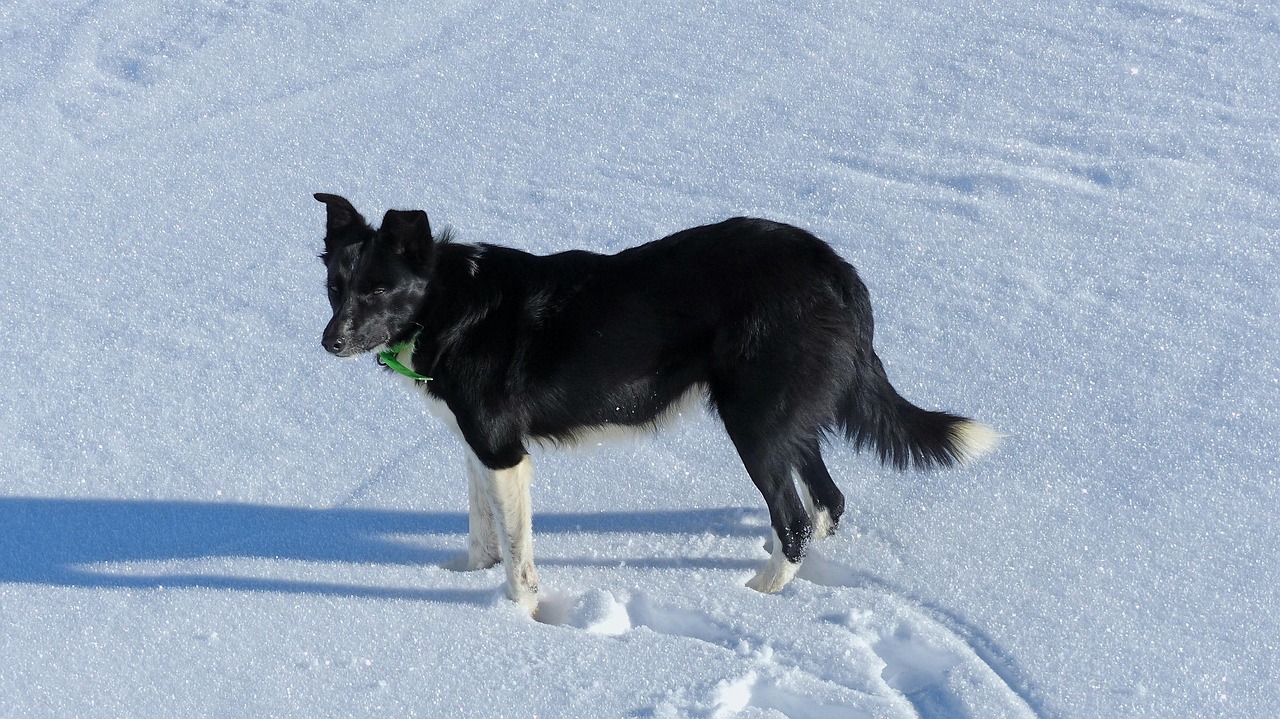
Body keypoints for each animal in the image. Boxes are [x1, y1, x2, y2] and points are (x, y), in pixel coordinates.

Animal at [314, 191, 993, 608]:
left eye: (379, 289)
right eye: (335, 286)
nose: (329, 341)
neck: (449, 304)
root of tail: (834, 267)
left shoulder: (504, 453)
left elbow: (517, 558)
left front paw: (517, 616)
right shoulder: (476, 447)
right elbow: (485, 533)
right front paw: (463, 576)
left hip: (753, 422)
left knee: (797, 516)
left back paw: (757, 597)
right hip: (784, 419)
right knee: (827, 501)